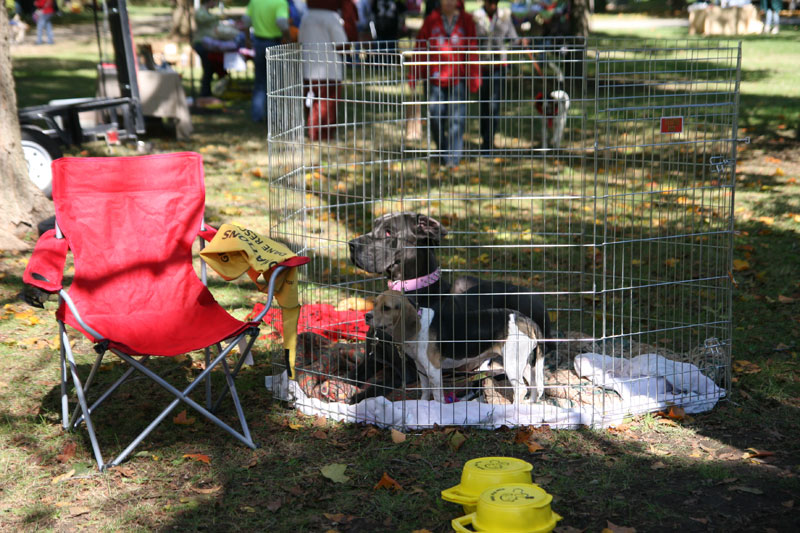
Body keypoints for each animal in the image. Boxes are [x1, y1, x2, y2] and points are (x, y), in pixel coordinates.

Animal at [368, 290, 544, 404]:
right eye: (374, 304)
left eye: (386, 308)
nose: (367, 316)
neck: (419, 324)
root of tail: (526, 320)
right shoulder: (421, 368)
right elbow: (425, 390)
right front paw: (423, 406)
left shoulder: (433, 369)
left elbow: (437, 395)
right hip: (524, 363)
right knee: (535, 385)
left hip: (511, 364)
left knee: (521, 389)